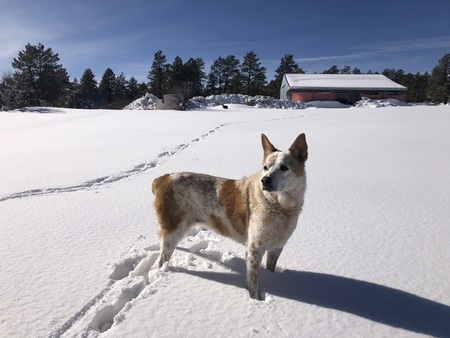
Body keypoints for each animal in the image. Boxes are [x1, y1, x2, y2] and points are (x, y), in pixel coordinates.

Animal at [153, 133, 308, 300]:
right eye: (265, 167)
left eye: (284, 167)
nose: (265, 180)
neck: (278, 205)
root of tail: (162, 178)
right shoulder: (254, 249)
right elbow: (253, 284)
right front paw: (254, 301)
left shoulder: (277, 247)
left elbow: (270, 268)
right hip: (174, 229)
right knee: (162, 258)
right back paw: (162, 271)